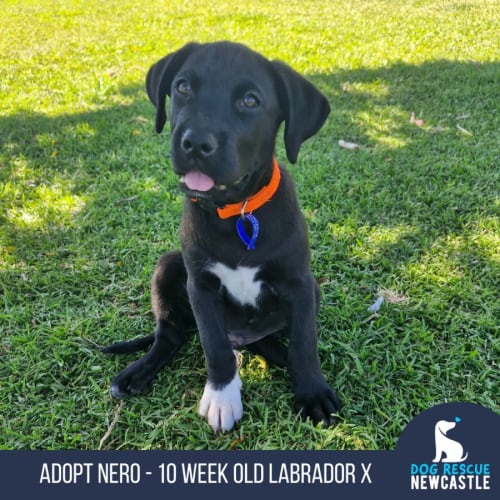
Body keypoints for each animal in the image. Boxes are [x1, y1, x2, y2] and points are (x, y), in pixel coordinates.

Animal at [103, 42, 342, 430]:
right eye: (183, 87)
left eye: (250, 101)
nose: (196, 143)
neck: (237, 211)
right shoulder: (200, 287)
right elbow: (214, 346)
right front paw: (221, 397)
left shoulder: (300, 284)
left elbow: (305, 344)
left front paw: (312, 393)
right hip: (168, 267)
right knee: (170, 335)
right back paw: (136, 373)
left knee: (270, 342)